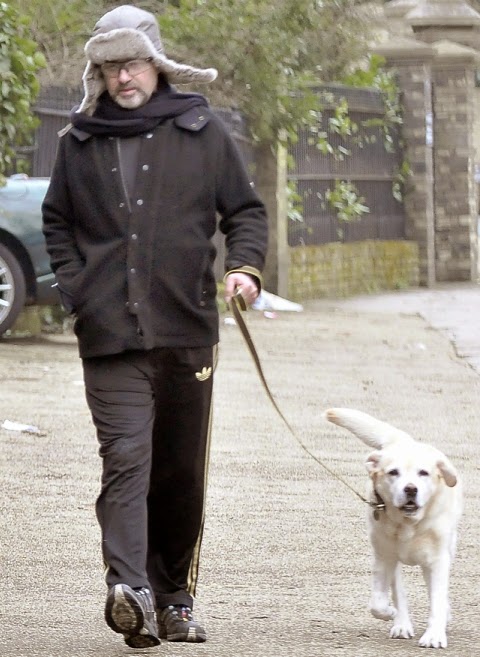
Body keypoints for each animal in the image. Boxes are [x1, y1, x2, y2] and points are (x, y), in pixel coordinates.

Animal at [324, 407, 463, 649]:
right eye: (393, 472)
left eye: (423, 473)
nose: (410, 489)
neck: (409, 524)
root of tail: (403, 441)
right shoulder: (384, 557)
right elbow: (379, 603)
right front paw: (389, 612)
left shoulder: (438, 560)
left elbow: (437, 599)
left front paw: (434, 635)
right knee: (399, 593)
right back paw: (401, 624)